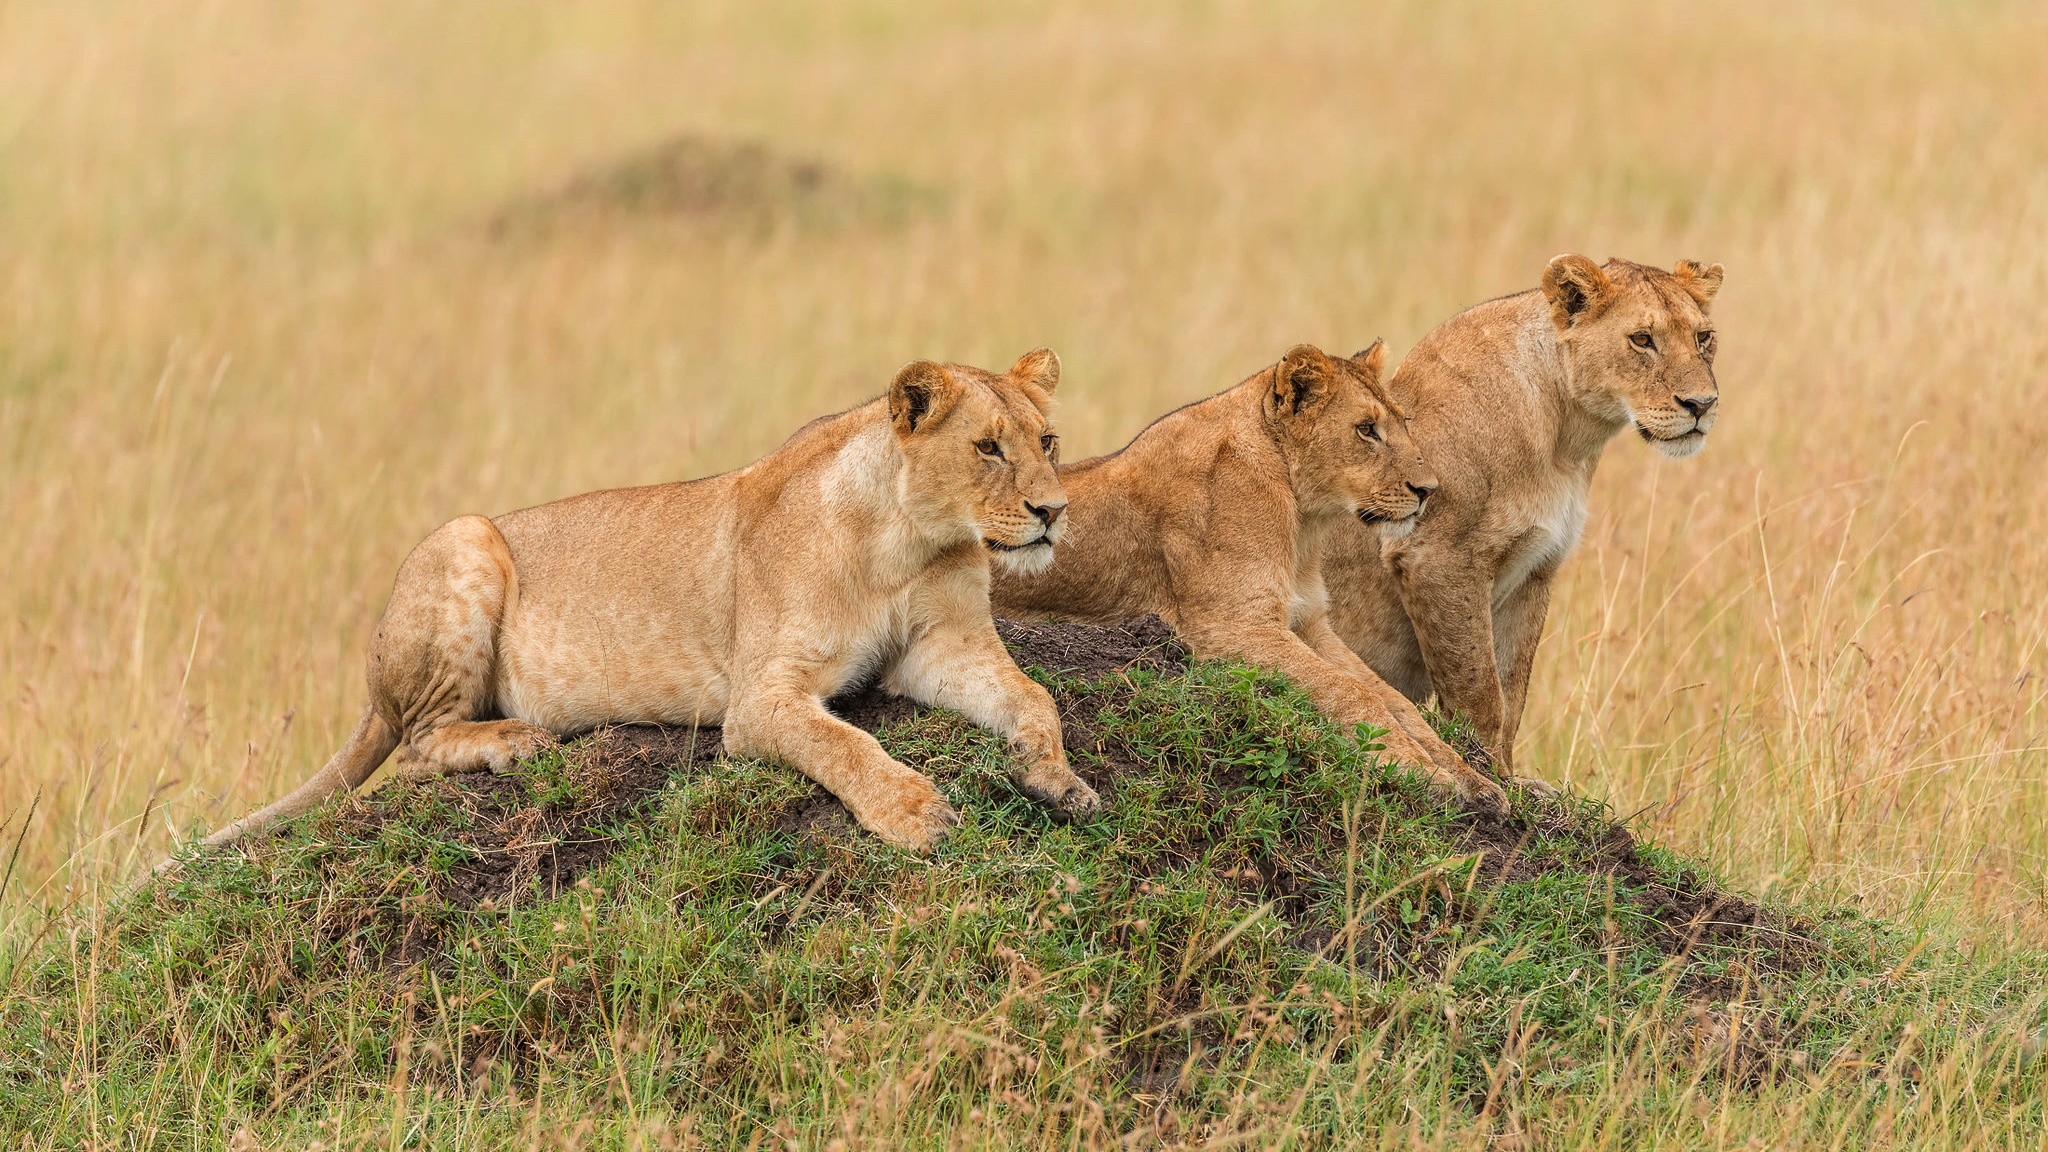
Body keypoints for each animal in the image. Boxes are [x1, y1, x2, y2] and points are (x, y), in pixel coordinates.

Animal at [184, 348, 1097, 852]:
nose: (1053, 511)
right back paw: (513, 742)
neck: (906, 541)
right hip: (466, 536)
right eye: (987, 449)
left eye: (1048, 442)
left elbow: (1032, 696)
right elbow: (844, 746)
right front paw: (914, 813)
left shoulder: (943, 647)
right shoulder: (760, 701)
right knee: (413, 748)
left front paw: (1054, 777)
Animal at [987, 344, 1507, 811]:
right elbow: (1353, 692)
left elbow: (1394, 700)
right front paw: (1425, 775)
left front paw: (1474, 781)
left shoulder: (1309, 622)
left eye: (1405, 423)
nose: (1429, 490)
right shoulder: (1232, 626)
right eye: (1366, 430)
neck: (1302, 517)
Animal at [1327, 254, 1728, 766]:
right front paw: (1484, 768)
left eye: (1703, 337)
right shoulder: (1434, 557)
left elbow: (1512, 690)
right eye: (1642, 339)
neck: (1567, 439)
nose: (1701, 404)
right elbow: (1479, 691)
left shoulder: (1537, 565)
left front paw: (1506, 771)